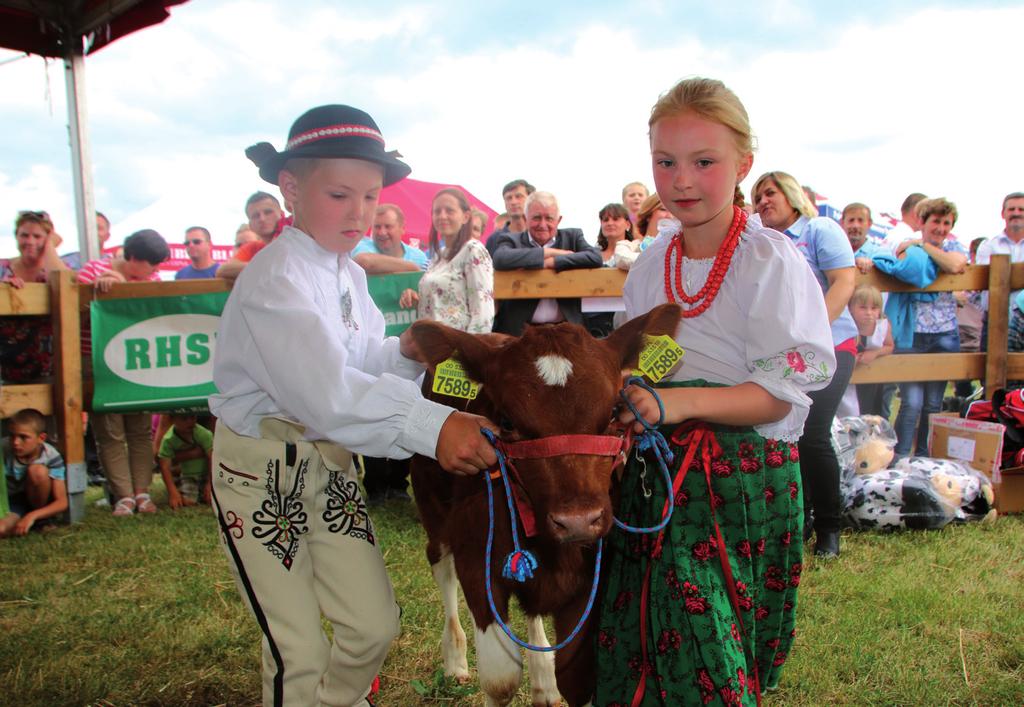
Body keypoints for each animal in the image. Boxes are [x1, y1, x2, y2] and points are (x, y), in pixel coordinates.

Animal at [405, 305, 679, 704]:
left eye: (615, 411)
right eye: (506, 421)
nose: (577, 520)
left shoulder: (591, 577)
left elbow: (577, 678)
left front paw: (553, 678)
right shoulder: (476, 561)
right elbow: (500, 679)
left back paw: (543, 680)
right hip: (432, 503)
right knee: (441, 566)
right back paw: (454, 659)